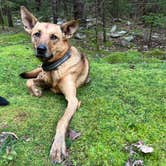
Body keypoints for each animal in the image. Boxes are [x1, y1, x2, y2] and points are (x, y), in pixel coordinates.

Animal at [19, 5, 89, 163]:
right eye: (36, 34)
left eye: (54, 37)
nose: (40, 49)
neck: (55, 67)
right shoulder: (45, 81)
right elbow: (29, 81)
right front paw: (36, 91)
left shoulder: (73, 100)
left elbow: (61, 121)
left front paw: (57, 147)